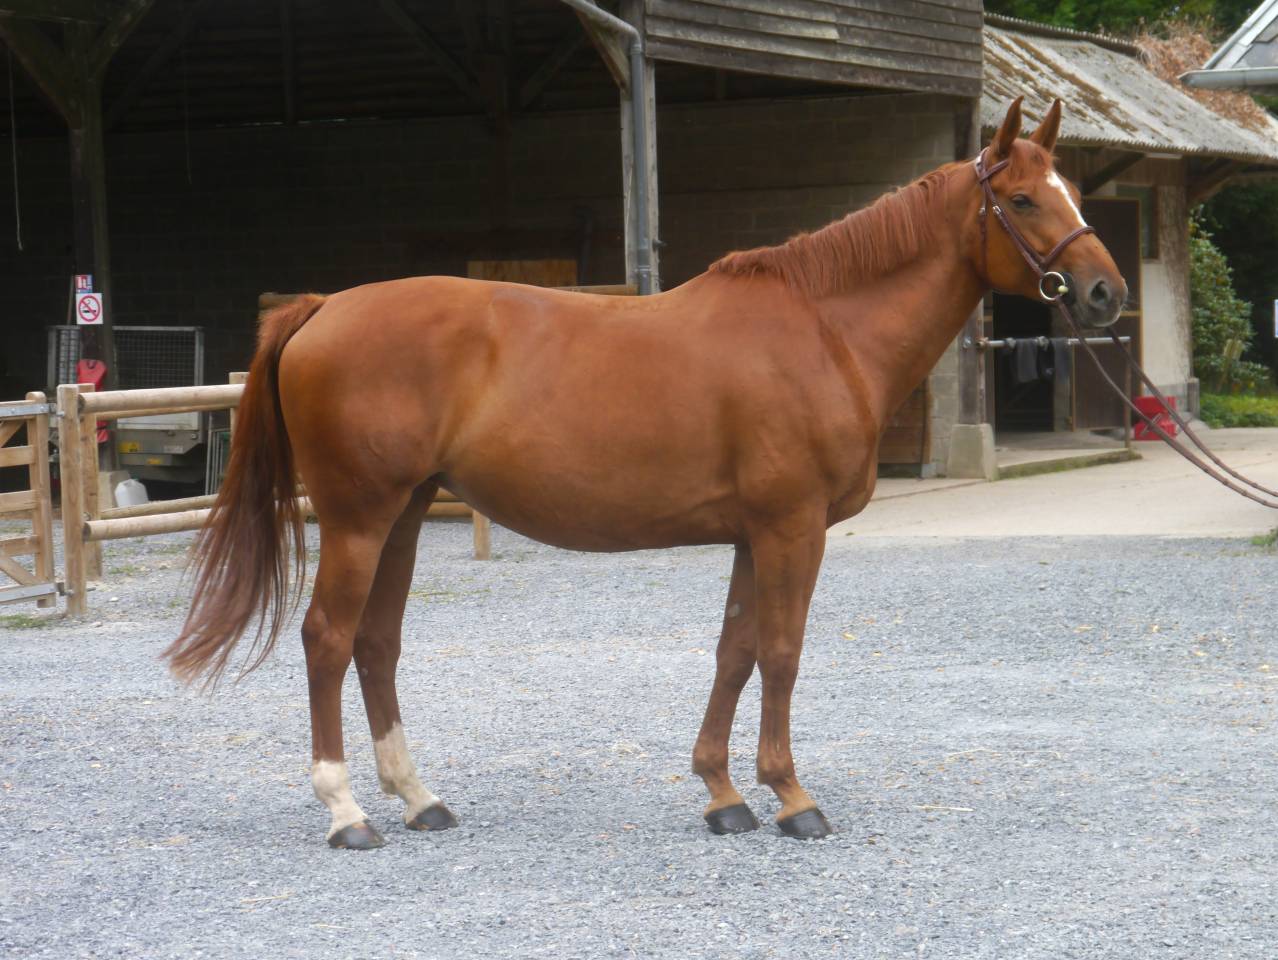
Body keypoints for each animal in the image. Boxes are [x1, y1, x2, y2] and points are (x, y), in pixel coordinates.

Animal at [166, 97, 1126, 849]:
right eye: (1021, 198)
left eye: (1074, 194)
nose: (1104, 294)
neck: (824, 329)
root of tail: (323, 306)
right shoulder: (791, 527)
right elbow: (781, 653)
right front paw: (793, 798)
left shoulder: (753, 533)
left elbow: (735, 652)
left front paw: (724, 794)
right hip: (358, 518)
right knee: (328, 640)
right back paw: (346, 813)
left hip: (399, 516)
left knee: (376, 643)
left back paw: (418, 798)